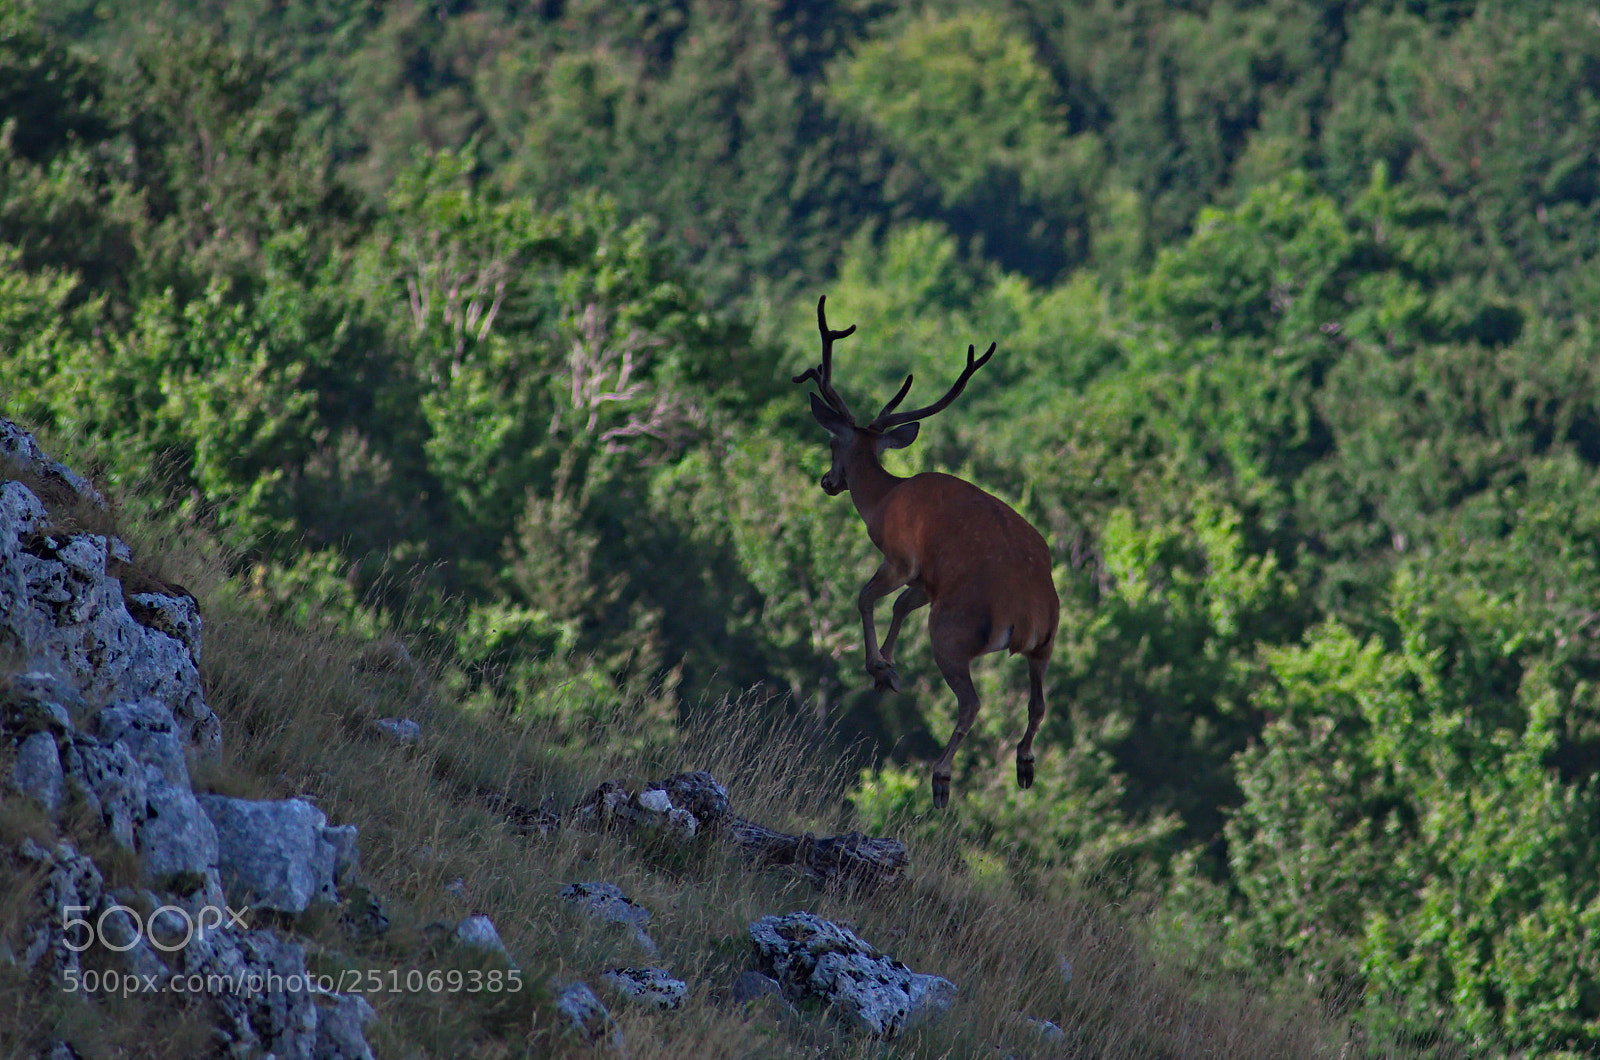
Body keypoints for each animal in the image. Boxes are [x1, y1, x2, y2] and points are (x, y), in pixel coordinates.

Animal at [795, 296, 1060, 809]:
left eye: (832, 440)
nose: (827, 481)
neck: (883, 499)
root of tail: (1028, 615)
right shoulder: (928, 580)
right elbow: (899, 606)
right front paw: (887, 668)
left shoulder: (902, 558)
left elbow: (866, 597)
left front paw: (879, 667)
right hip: (1046, 643)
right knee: (1038, 703)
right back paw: (1024, 765)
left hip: (952, 632)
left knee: (972, 703)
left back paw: (940, 778)